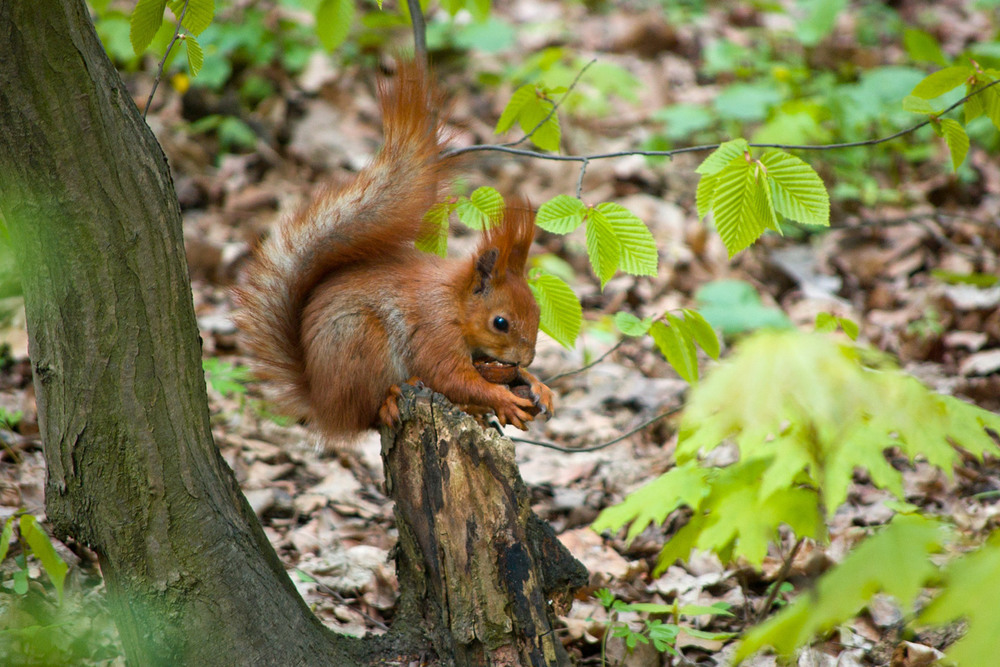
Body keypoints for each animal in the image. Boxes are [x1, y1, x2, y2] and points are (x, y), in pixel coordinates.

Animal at [234, 60, 556, 440]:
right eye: (500, 323)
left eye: (537, 311)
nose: (527, 358)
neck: (456, 302)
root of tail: (323, 405)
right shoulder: (435, 331)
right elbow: (449, 376)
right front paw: (502, 398)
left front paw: (538, 386)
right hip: (360, 343)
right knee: (369, 412)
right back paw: (389, 401)